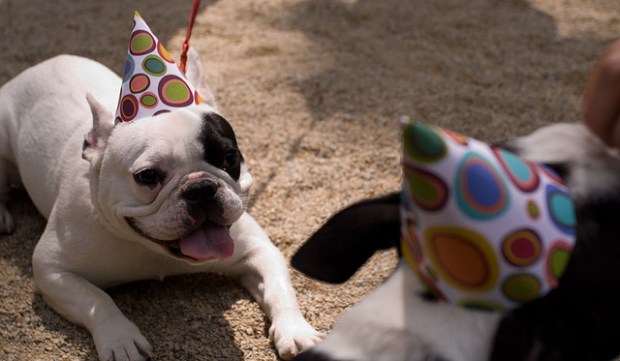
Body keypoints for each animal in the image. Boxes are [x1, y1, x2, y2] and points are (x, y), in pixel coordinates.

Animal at [0, 48, 320, 360]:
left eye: (229, 157)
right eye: (148, 176)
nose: (201, 188)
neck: (153, 250)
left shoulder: (258, 250)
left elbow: (279, 289)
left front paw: (295, 331)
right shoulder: (52, 269)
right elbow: (97, 300)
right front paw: (120, 339)